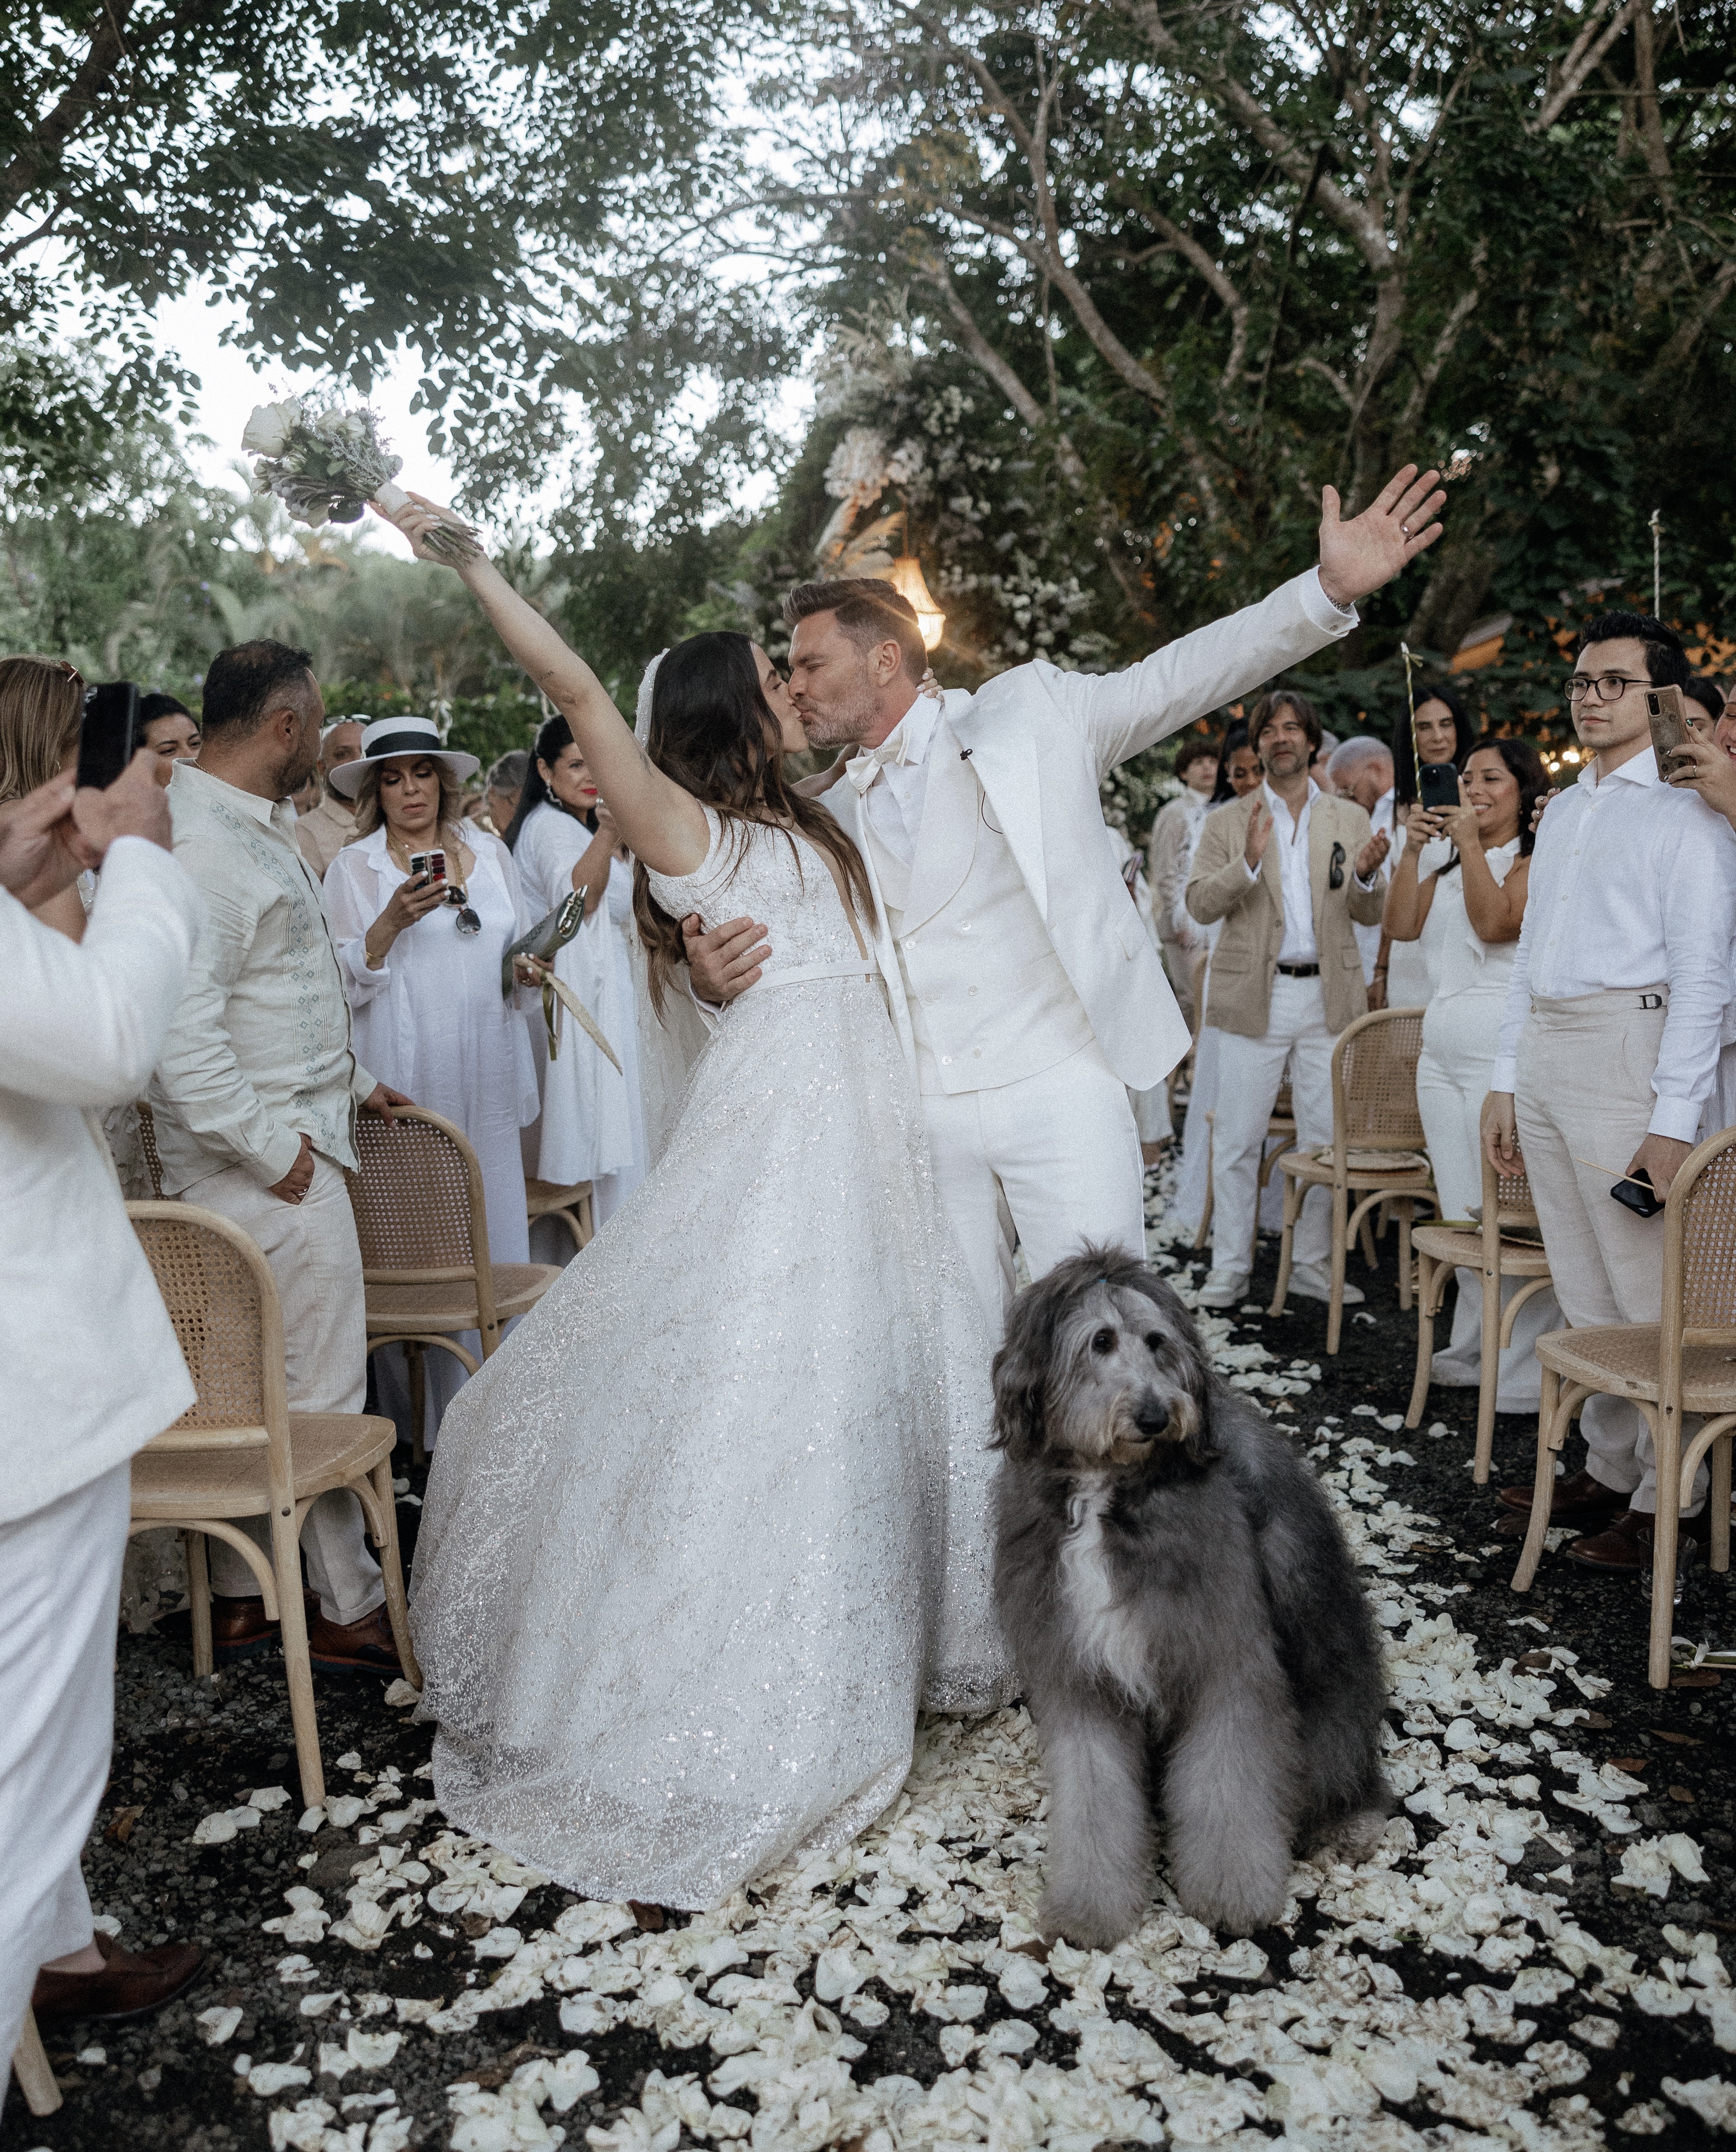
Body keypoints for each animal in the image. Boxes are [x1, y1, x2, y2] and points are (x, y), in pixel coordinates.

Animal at [998, 1239, 1394, 1945]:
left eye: (1156, 1342)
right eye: (1101, 1341)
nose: (1156, 1416)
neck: (1107, 1493)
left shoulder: (1226, 1660)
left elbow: (1227, 1786)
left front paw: (1233, 1893)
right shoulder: (1082, 1678)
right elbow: (1094, 1795)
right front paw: (1090, 1907)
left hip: (1331, 1690)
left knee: (1345, 1768)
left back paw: (1351, 1823)